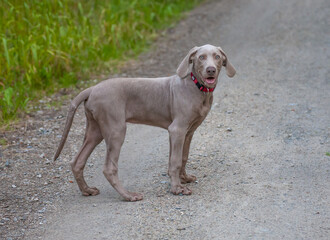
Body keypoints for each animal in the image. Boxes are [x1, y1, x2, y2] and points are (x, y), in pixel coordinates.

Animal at [53, 44, 235, 201]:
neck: (197, 88)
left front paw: (183, 178)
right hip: (116, 129)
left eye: (217, 57)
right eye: (201, 57)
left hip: (95, 129)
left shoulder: (187, 132)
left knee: (77, 161)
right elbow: (175, 161)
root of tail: (92, 88)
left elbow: (182, 157)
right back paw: (128, 195)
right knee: (109, 168)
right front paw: (177, 189)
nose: (211, 70)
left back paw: (87, 190)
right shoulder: (177, 129)